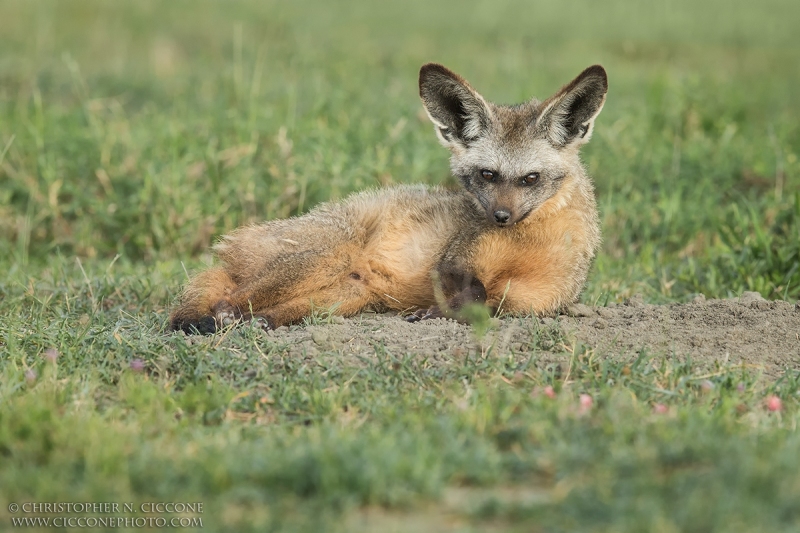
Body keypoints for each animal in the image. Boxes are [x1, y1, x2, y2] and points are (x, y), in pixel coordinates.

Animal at [170, 63, 608, 332]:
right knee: (226, 301)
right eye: (488, 175)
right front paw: (434, 312)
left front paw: (438, 313)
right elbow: (474, 293)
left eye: (530, 179)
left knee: (258, 311)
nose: (500, 216)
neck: (530, 246)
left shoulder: (530, 301)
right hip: (328, 256)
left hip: (343, 297)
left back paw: (262, 323)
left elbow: (485, 304)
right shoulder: (453, 262)